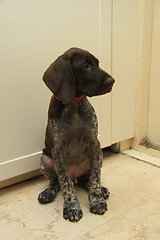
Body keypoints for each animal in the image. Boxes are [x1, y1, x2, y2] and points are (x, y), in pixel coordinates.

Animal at [38, 47, 114, 222]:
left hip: (98, 155)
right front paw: (72, 206)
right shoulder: (57, 150)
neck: (73, 106)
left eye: (97, 64)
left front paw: (96, 200)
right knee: (57, 181)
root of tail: (75, 175)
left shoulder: (94, 143)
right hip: (45, 159)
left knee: (87, 179)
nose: (112, 81)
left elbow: (95, 177)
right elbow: (65, 182)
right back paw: (48, 192)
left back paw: (101, 190)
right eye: (86, 66)